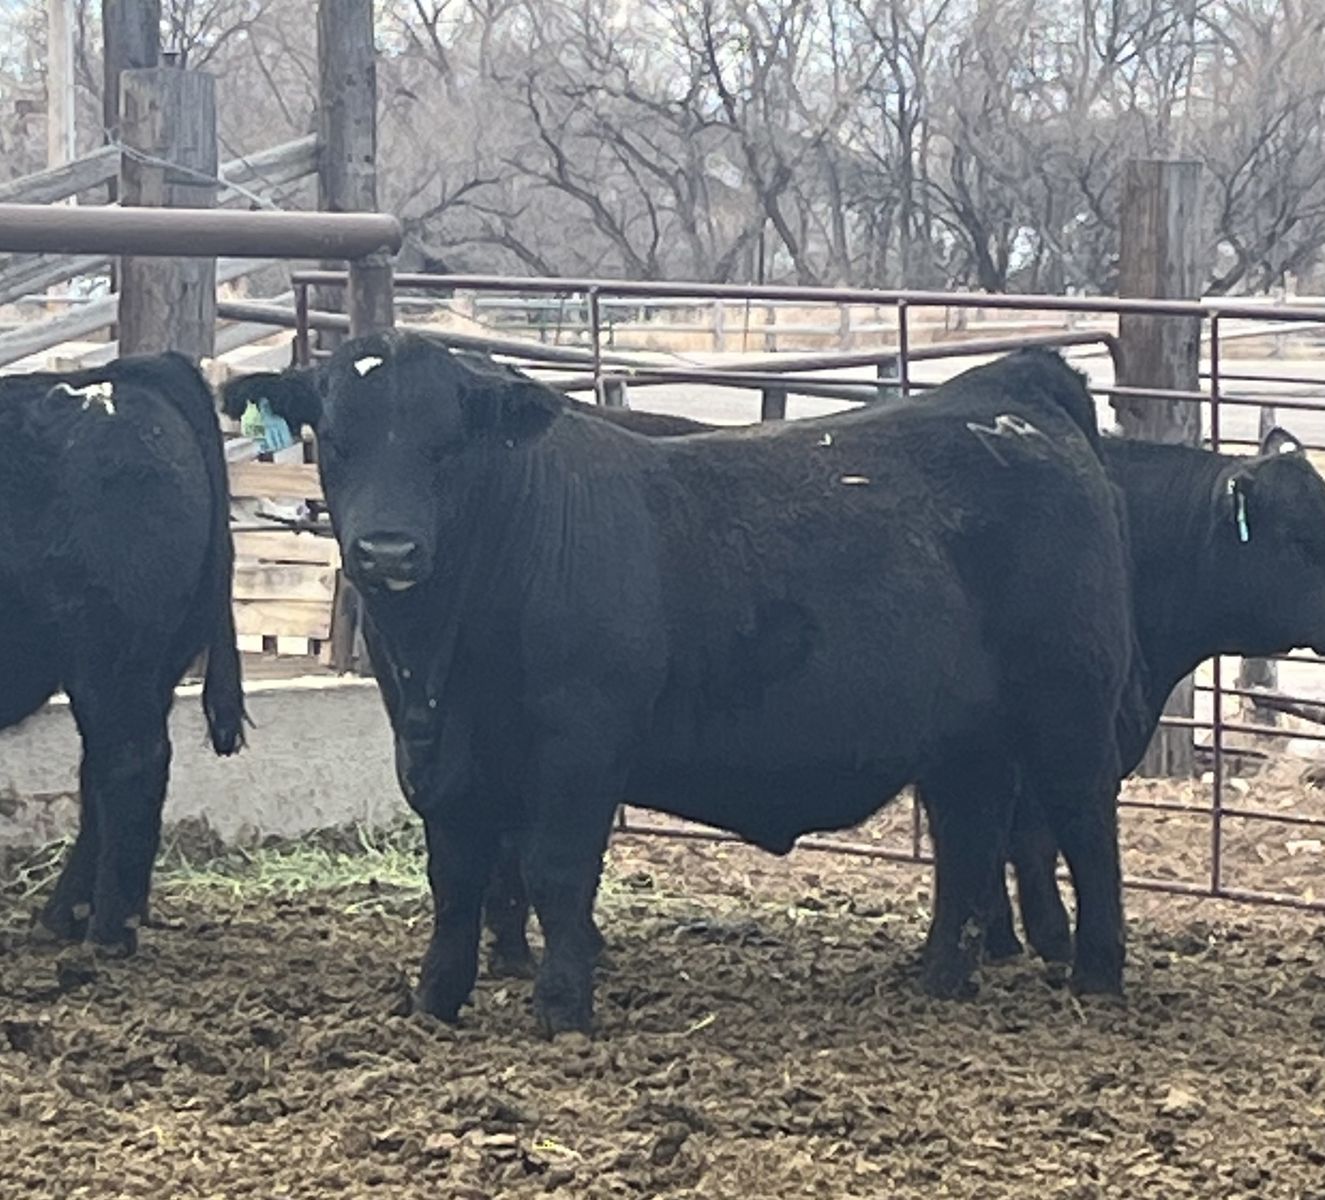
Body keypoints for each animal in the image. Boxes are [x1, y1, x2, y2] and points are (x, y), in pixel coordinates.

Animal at [0, 352, 246, 954]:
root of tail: (121, 373)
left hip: (110, 656)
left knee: (129, 761)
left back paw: (108, 931)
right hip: (144, 666)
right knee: (103, 770)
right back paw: (67, 917)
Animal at [222, 334, 1135, 1036]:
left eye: (448, 446)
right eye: (336, 441)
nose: (388, 551)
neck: (443, 655)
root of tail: (1009, 388)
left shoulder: (579, 746)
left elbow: (556, 871)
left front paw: (563, 1008)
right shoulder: (435, 754)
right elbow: (455, 879)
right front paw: (435, 1001)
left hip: (1068, 708)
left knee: (1084, 827)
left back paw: (1095, 974)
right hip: (962, 739)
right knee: (968, 839)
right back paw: (939, 975)